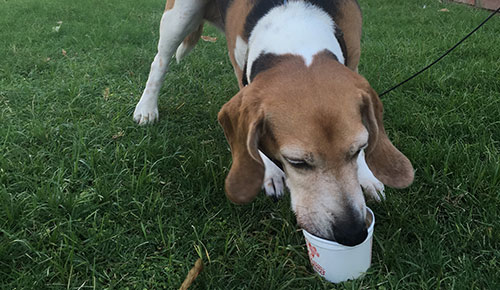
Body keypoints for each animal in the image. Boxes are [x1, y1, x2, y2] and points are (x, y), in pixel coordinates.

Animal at [134, 0, 414, 247]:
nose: (353, 233)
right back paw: (146, 108)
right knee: (159, 61)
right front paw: (268, 172)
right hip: (179, 16)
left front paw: (367, 175)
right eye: (296, 162)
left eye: (357, 150)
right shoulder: (244, 77)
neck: (297, 32)